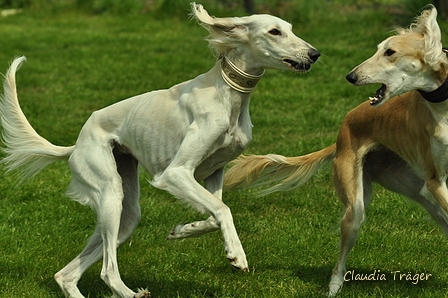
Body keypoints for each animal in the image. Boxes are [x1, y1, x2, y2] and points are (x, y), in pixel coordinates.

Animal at [0, 2, 322, 298]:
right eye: (274, 31)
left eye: (291, 29)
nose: (315, 54)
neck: (228, 95)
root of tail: (75, 144)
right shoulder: (176, 173)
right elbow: (223, 209)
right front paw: (236, 254)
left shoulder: (214, 172)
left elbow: (213, 215)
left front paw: (183, 231)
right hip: (110, 194)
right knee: (107, 270)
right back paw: (130, 292)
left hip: (126, 214)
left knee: (67, 274)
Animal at [226, 4, 448, 296]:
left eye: (390, 52)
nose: (350, 76)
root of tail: (344, 126)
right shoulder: (435, 180)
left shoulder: (436, 184)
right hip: (358, 204)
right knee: (342, 254)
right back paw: (334, 286)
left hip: (414, 187)